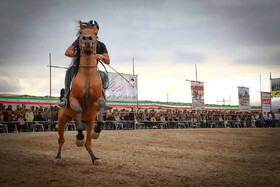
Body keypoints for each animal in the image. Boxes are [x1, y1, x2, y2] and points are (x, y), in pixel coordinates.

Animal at [54, 21, 106, 165]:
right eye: (81, 33)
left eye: (95, 33)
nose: (87, 39)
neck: (87, 74)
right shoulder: (73, 99)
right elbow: (77, 109)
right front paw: (79, 137)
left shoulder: (98, 100)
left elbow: (102, 106)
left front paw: (96, 131)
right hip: (62, 120)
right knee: (61, 140)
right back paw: (58, 157)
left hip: (89, 121)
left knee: (88, 143)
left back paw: (95, 158)